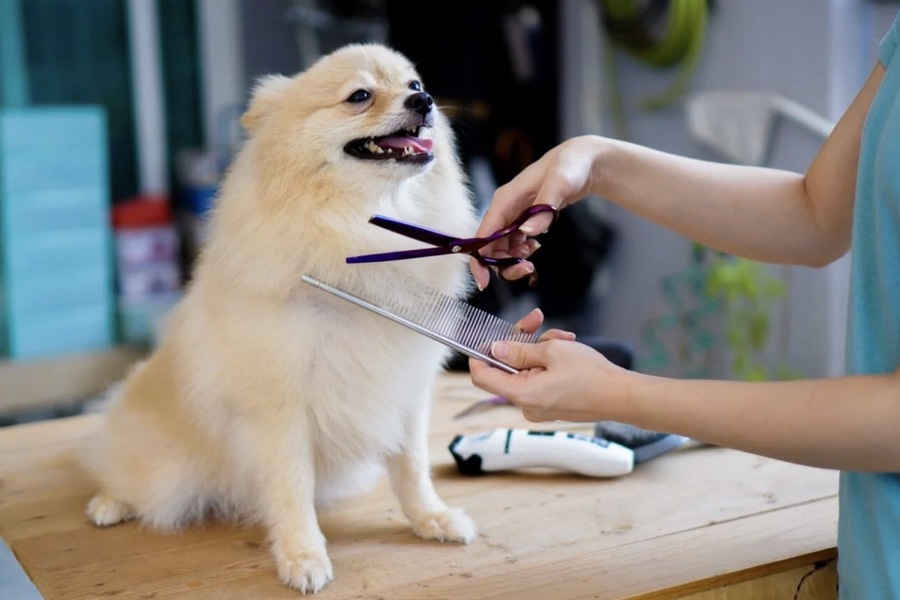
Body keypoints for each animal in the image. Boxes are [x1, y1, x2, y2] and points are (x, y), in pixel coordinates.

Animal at [81, 44, 482, 592]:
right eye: (360, 96)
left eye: (414, 83)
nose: (425, 101)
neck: (360, 230)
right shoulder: (279, 411)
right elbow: (292, 489)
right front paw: (303, 556)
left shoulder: (405, 390)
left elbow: (412, 468)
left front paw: (431, 518)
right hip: (165, 470)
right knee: (120, 470)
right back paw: (108, 502)